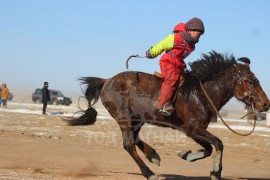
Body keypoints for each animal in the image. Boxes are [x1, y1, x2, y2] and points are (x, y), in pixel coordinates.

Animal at [66, 51, 268, 180]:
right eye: (251, 81)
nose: (266, 103)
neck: (201, 93)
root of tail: (107, 81)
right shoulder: (193, 128)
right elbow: (218, 143)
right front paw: (216, 172)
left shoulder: (193, 130)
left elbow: (209, 148)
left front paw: (186, 155)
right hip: (124, 118)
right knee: (129, 145)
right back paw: (150, 173)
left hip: (137, 119)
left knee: (135, 139)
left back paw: (153, 155)